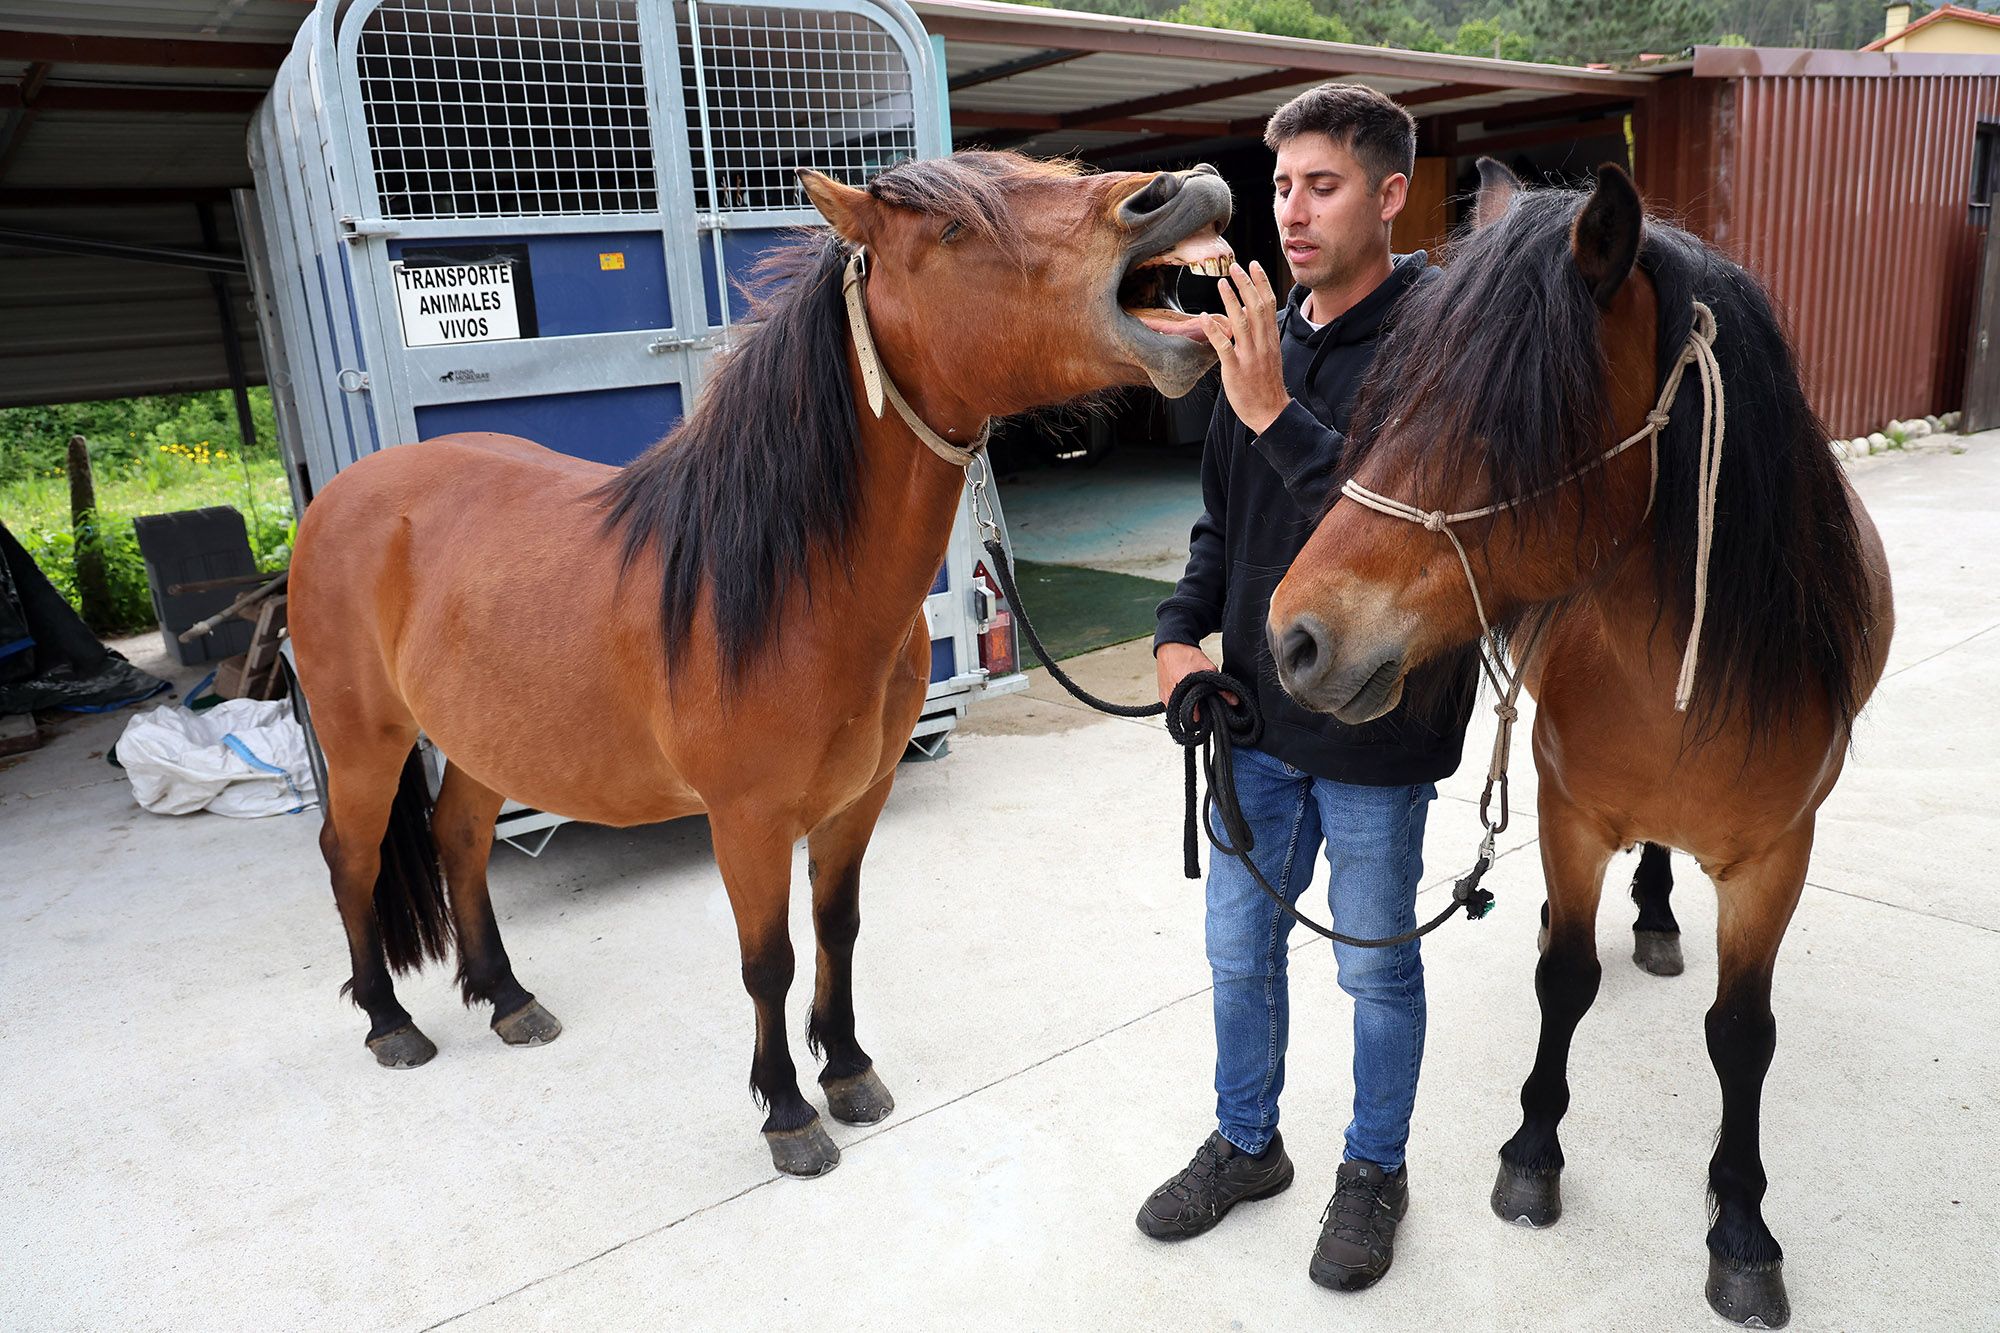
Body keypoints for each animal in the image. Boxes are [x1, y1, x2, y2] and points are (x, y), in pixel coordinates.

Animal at [288, 150, 1224, 1176]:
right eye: (953, 231)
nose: (1180, 192)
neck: (781, 583)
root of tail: (340, 496)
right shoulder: (746, 820)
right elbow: (766, 959)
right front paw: (787, 1110)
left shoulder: (859, 799)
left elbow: (836, 928)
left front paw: (847, 1068)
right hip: (367, 739)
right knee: (350, 854)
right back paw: (389, 1021)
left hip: (483, 739)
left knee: (458, 838)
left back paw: (508, 998)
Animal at [1264, 161, 1888, 1320]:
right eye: (1398, 400)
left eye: (1513, 423)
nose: (1295, 635)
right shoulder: (1568, 815)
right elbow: (1563, 982)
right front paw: (1532, 1153)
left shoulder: (1777, 859)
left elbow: (1743, 1037)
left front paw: (1741, 1229)